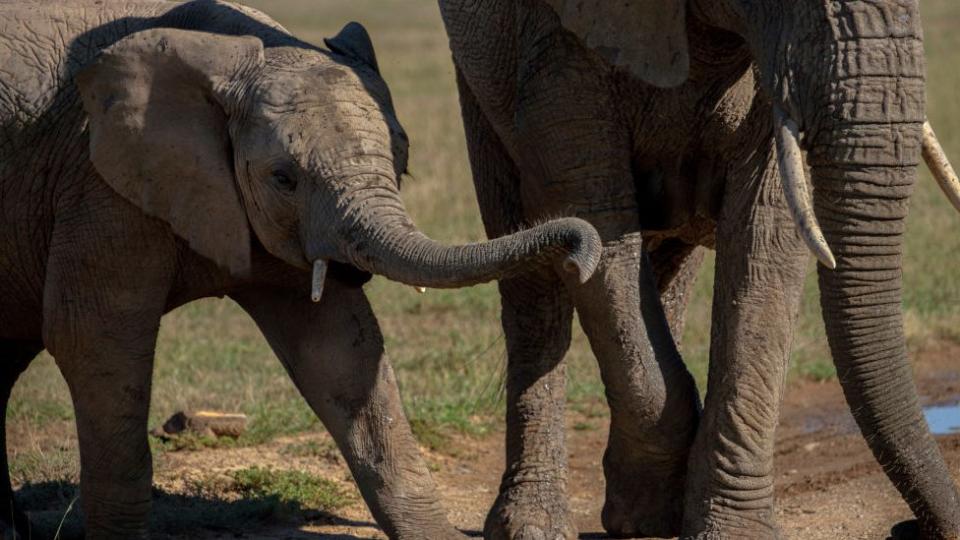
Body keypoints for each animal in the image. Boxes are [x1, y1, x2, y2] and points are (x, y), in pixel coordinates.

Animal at [0, 2, 600, 536]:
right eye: (283, 178)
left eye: (402, 158)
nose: (580, 254)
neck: (232, 57)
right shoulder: (101, 184)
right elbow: (92, 338)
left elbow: (341, 351)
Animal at [440, 0, 960, 536]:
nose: (907, 527)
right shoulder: (556, 44)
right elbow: (594, 212)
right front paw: (656, 499)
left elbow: (766, 228)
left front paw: (725, 528)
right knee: (533, 287)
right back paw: (541, 523)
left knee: (666, 265)